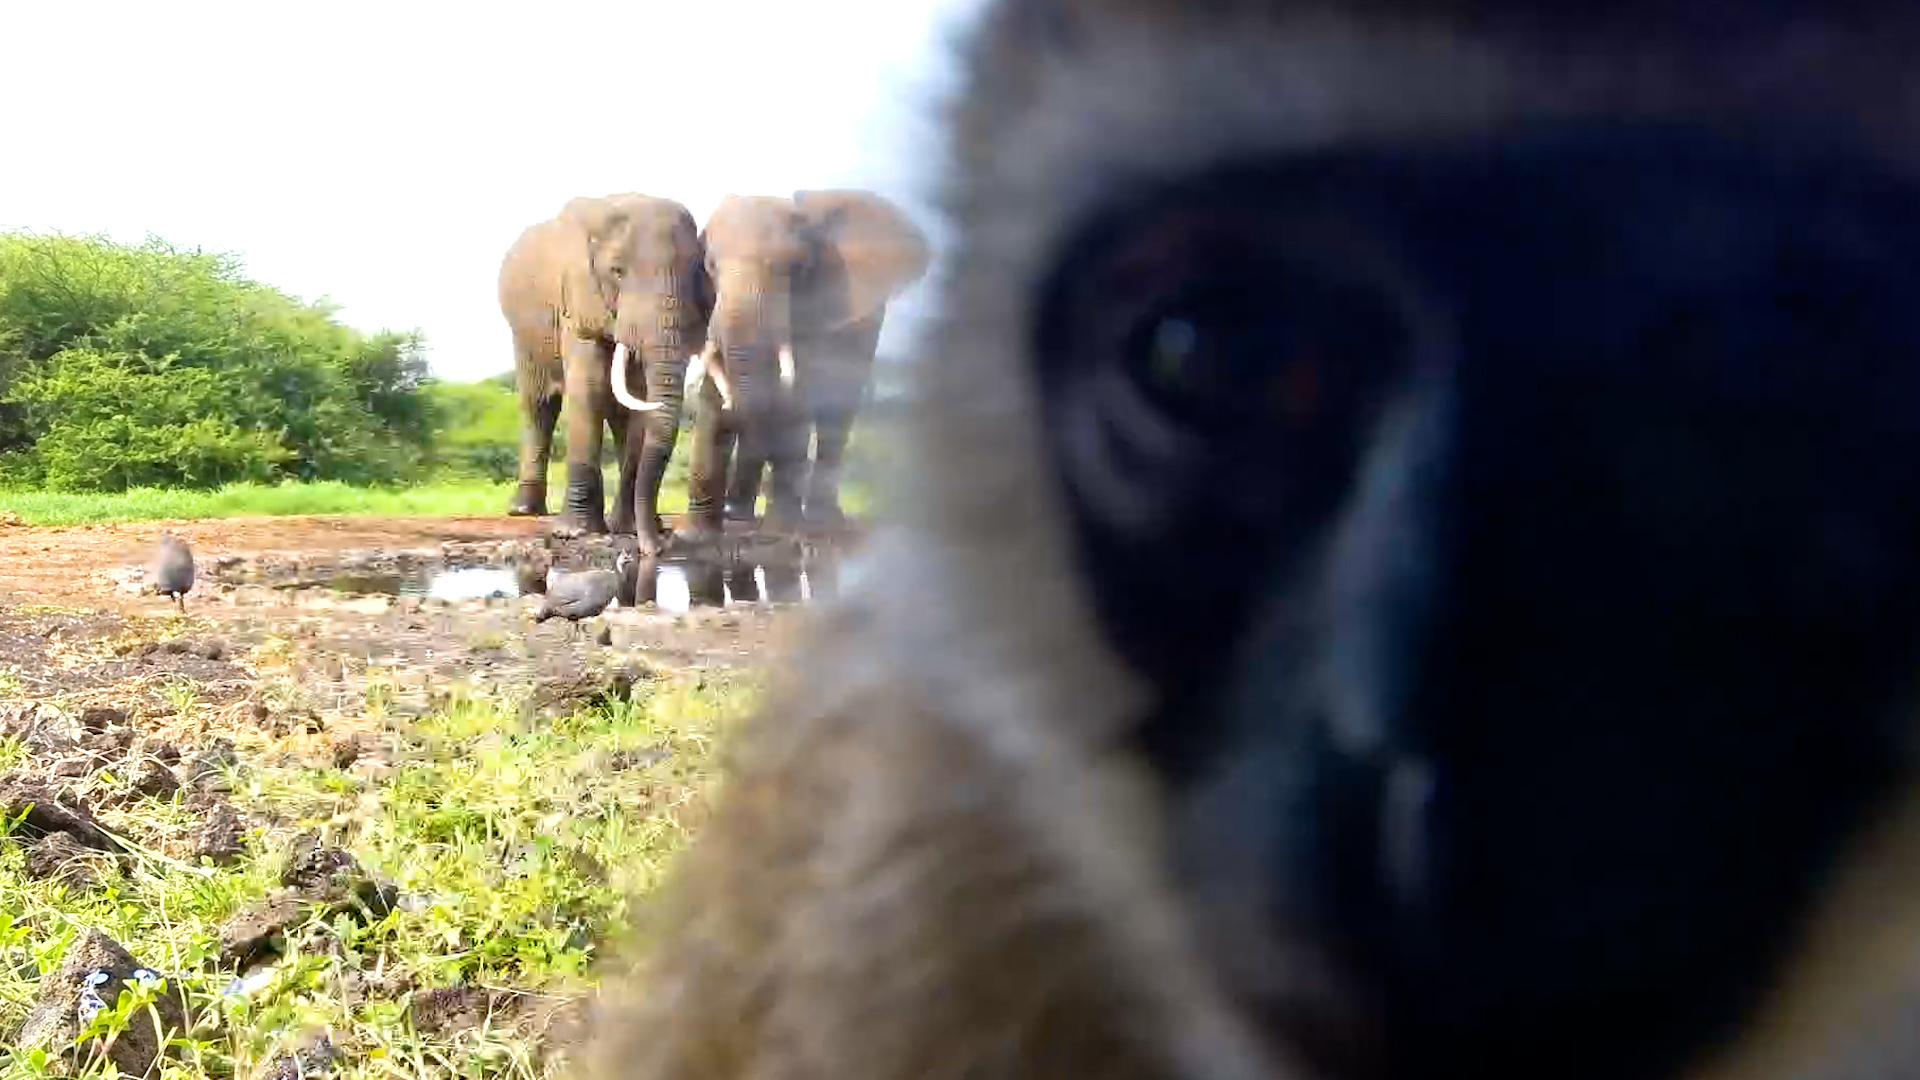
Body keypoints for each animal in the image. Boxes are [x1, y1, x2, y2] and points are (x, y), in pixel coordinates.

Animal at [498, 193, 712, 552]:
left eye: (696, 273)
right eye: (617, 272)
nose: (659, 547)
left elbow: (640, 400)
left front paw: (626, 529)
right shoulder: (578, 301)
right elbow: (588, 388)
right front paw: (574, 533)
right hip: (524, 334)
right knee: (539, 405)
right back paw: (524, 510)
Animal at [678, 188, 931, 541]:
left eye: (796, 269)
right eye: (710, 267)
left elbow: (797, 396)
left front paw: (780, 530)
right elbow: (717, 394)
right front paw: (694, 536)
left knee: (836, 414)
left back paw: (820, 522)